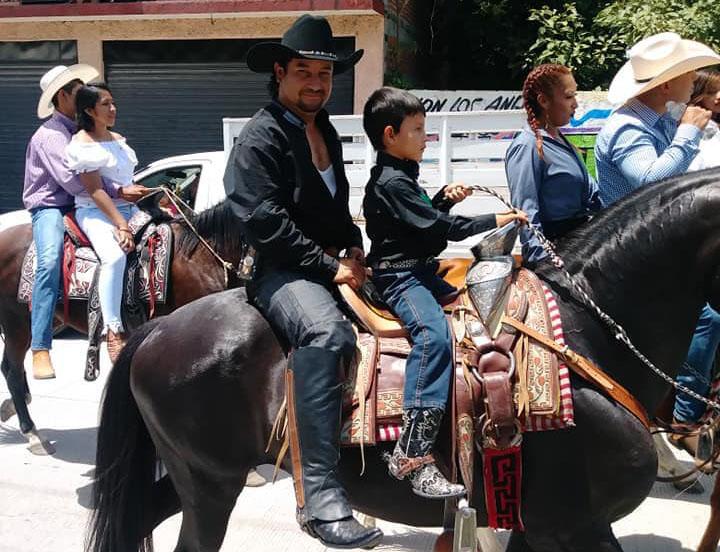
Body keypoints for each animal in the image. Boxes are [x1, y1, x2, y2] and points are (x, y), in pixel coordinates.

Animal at [86, 170, 720, 548]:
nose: (700, 427)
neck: (585, 333)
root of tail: (158, 328)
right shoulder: (574, 521)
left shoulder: (537, 523)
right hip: (209, 485)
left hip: (199, 478)